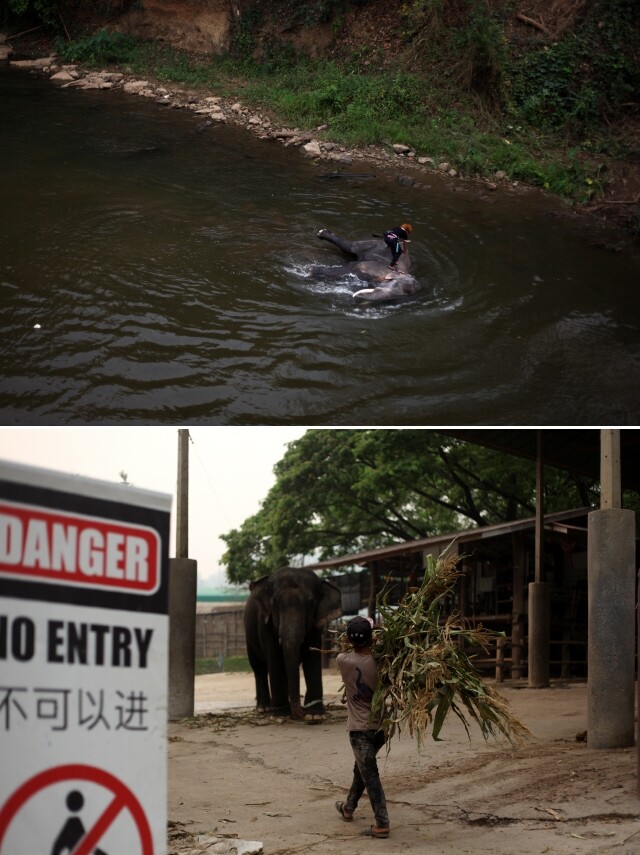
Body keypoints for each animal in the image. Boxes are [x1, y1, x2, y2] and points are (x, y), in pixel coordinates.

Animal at [245, 568, 344, 724]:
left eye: (311, 604)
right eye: (275, 605)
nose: (300, 714)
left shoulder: (316, 625)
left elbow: (311, 658)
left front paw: (315, 715)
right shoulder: (266, 624)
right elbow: (275, 659)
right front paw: (280, 717)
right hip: (249, 636)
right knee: (259, 668)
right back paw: (264, 709)